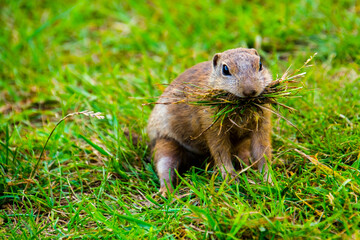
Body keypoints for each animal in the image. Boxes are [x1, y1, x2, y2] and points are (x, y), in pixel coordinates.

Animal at [148, 47, 272, 196]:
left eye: (260, 65)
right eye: (225, 69)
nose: (250, 91)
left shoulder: (262, 124)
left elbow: (262, 151)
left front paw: (268, 180)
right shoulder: (213, 128)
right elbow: (220, 153)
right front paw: (231, 178)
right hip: (165, 143)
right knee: (165, 167)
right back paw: (168, 192)